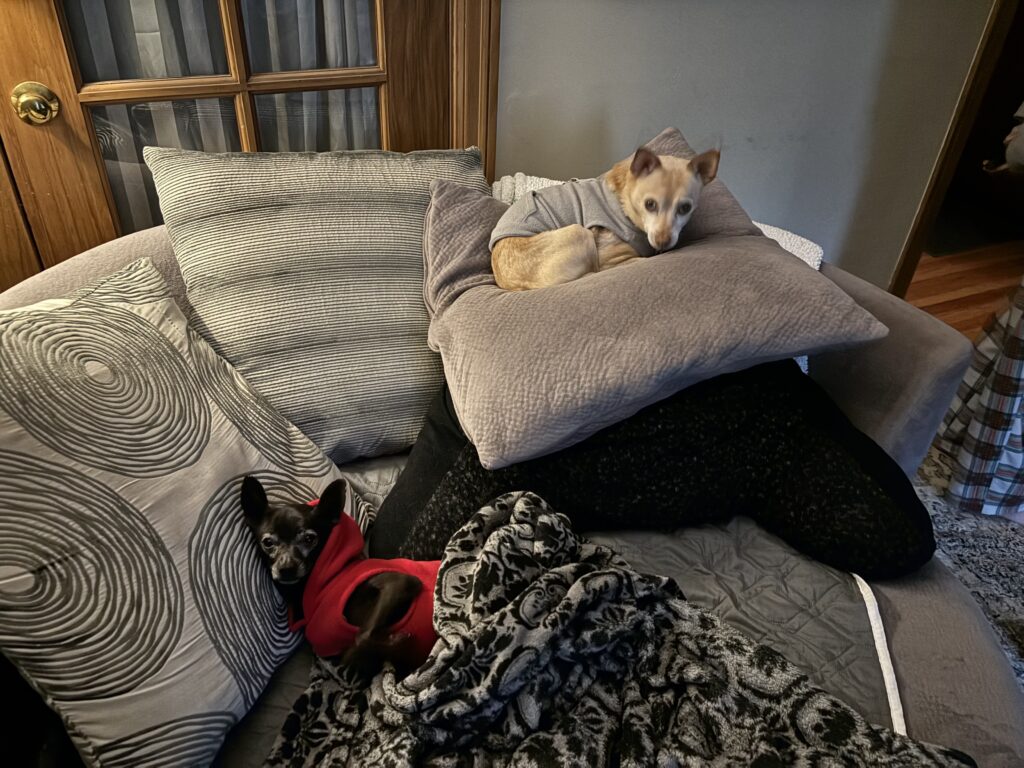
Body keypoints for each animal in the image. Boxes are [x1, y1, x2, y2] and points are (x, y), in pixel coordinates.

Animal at [239, 475, 436, 679]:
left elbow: (359, 641)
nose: (287, 568)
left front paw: (402, 644)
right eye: (268, 542)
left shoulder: (402, 582)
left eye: (309, 539)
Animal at [489, 145, 720, 290]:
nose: (663, 242)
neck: (624, 202)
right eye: (650, 204)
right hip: (579, 232)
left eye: (685, 208)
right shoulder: (610, 260)